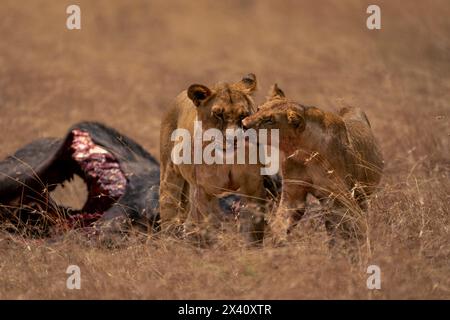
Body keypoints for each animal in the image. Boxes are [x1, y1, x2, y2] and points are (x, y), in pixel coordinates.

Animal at [160, 72, 268, 242]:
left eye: (243, 115)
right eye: (218, 114)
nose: (233, 139)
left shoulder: (253, 185)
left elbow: (254, 227)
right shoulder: (204, 189)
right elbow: (209, 226)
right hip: (170, 174)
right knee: (169, 207)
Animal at [243, 84, 384, 244]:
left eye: (269, 120)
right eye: (258, 109)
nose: (243, 124)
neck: (304, 153)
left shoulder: (341, 198)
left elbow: (354, 226)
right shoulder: (293, 194)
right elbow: (282, 220)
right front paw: (275, 242)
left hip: (361, 196)